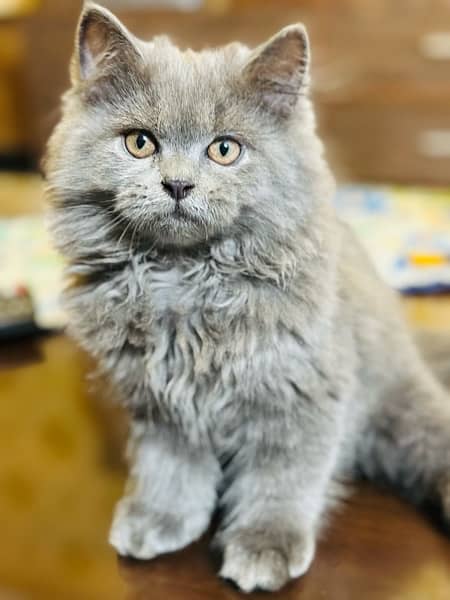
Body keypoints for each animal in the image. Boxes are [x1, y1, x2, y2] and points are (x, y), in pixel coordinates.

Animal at [42, 2, 450, 592]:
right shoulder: (161, 403)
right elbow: (170, 468)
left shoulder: (301, 394)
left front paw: (264, 545)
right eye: (140, 142)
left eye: (225, 150)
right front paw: (160, 519)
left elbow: (281, 479)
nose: (178, 185)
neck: (184, 279)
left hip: (403, 405)